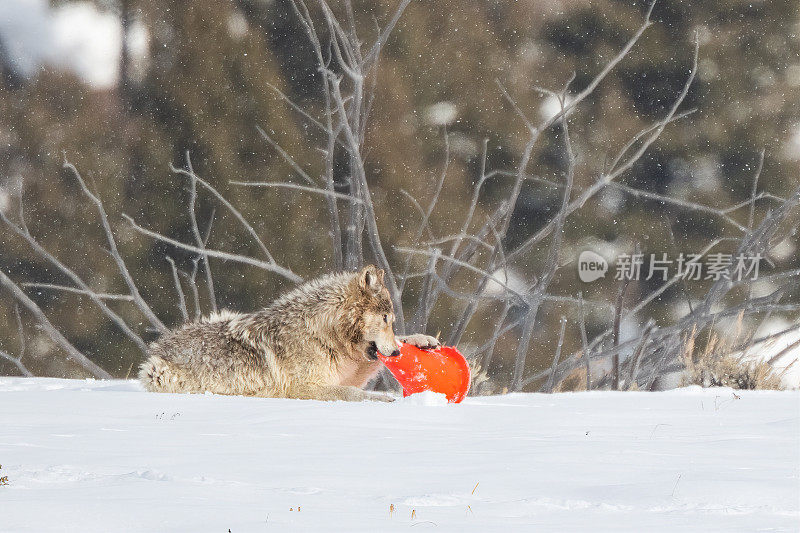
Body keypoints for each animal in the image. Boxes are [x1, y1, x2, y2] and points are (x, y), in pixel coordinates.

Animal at [138, 264, 438, 402]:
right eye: (386, 318)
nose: (396, 353)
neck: (323, 332)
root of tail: (158, 348)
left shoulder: (349, 369)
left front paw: (421, 341)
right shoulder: (306, 387)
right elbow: (352, 394)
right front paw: (383, 399)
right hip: (162, 375)